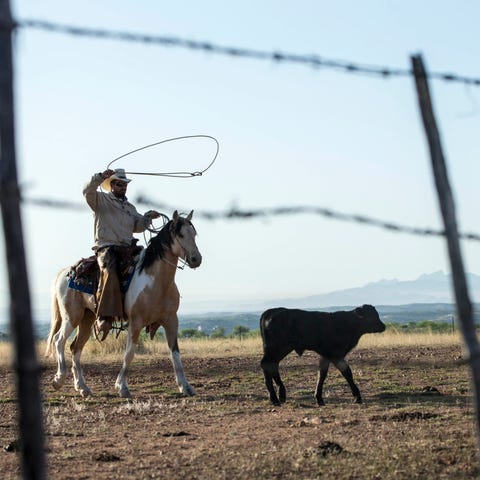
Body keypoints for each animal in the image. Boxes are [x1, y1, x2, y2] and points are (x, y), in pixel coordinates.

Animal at [44, 210, 202, 398]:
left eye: (194, 234)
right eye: (181, 235)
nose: (196, 259)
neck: (155, 281)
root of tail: (64, 272)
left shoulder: (171, 320)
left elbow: (175, 353)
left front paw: (185, 386)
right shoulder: (136, 321)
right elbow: (129, 353)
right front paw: (122, 386)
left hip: (87, 319)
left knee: (76, 347)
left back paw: (82, 387)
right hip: (72, 316)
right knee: (58, 340)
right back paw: (59, 379)